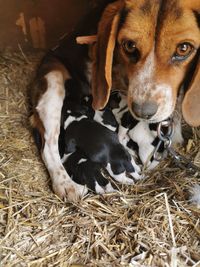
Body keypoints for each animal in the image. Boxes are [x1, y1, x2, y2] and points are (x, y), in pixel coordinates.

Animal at [30, 0, 200, 201]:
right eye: (129, 45)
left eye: (184, 48)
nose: (142, 112)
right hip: (53, 83)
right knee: (49, 146)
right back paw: (65, 184)